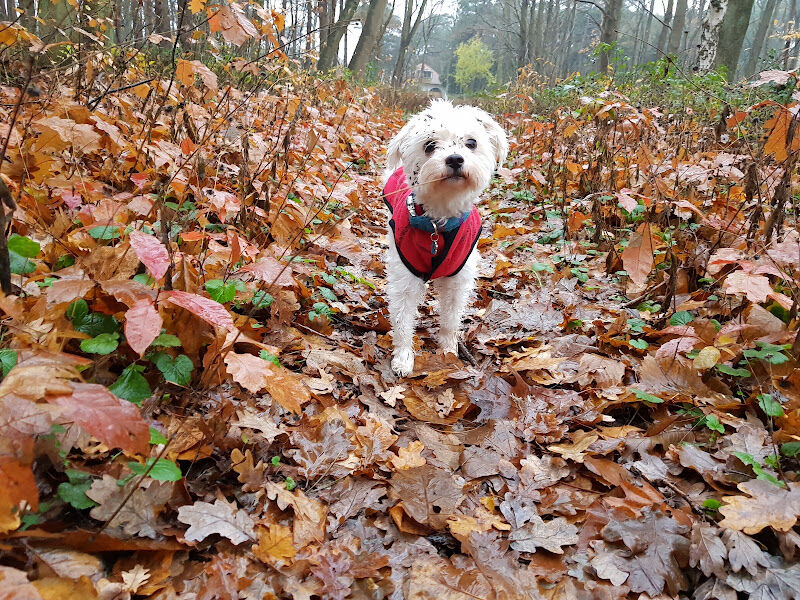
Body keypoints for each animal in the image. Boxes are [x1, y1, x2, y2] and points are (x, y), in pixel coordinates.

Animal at [382, 101, 506, 378]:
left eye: (471, 142)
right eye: (429, 145)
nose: (455, 158)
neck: (438, 224)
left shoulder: (458, 279)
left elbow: (450, 317)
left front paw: (448, 350)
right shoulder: (404, 276)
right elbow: (402, 318)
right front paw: (403, 356)